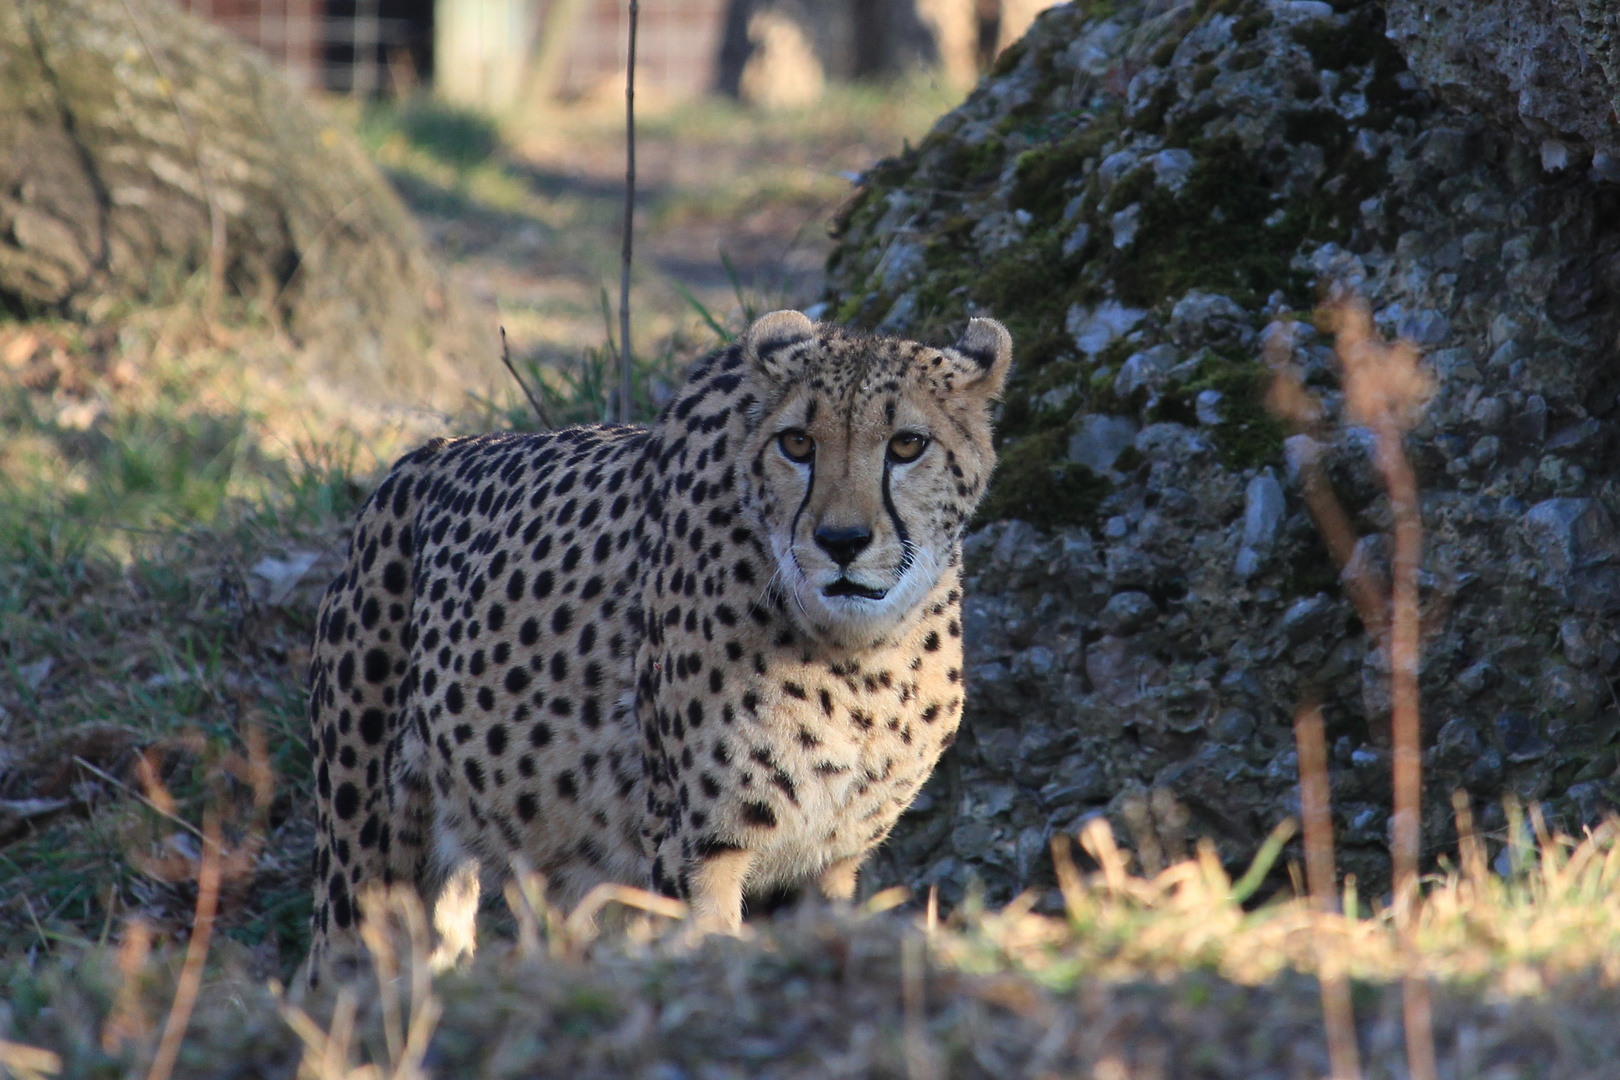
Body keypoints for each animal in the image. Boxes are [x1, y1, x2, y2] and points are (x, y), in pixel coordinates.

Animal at [304, 310, 1010, 977]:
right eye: (797, 443)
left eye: (908, 444)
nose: (842, 541)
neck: (862, 657)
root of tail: (414, 460)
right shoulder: (695, 850)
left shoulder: (828, 862)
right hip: (366, 857)